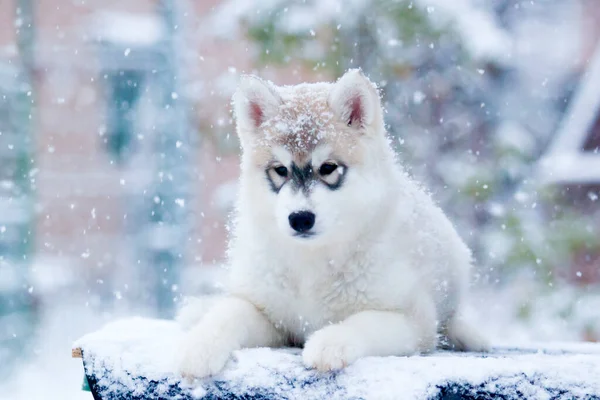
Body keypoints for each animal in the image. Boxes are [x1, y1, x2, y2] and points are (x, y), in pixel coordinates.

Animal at [178, 69, 488, 378]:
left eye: (328, 168)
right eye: (280, 170)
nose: (300, 218)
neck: (312, 263)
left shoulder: (414, 319)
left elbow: (361, 322)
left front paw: (329, 343)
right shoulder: (266, 312)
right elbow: (227, 314)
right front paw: (199, 346)